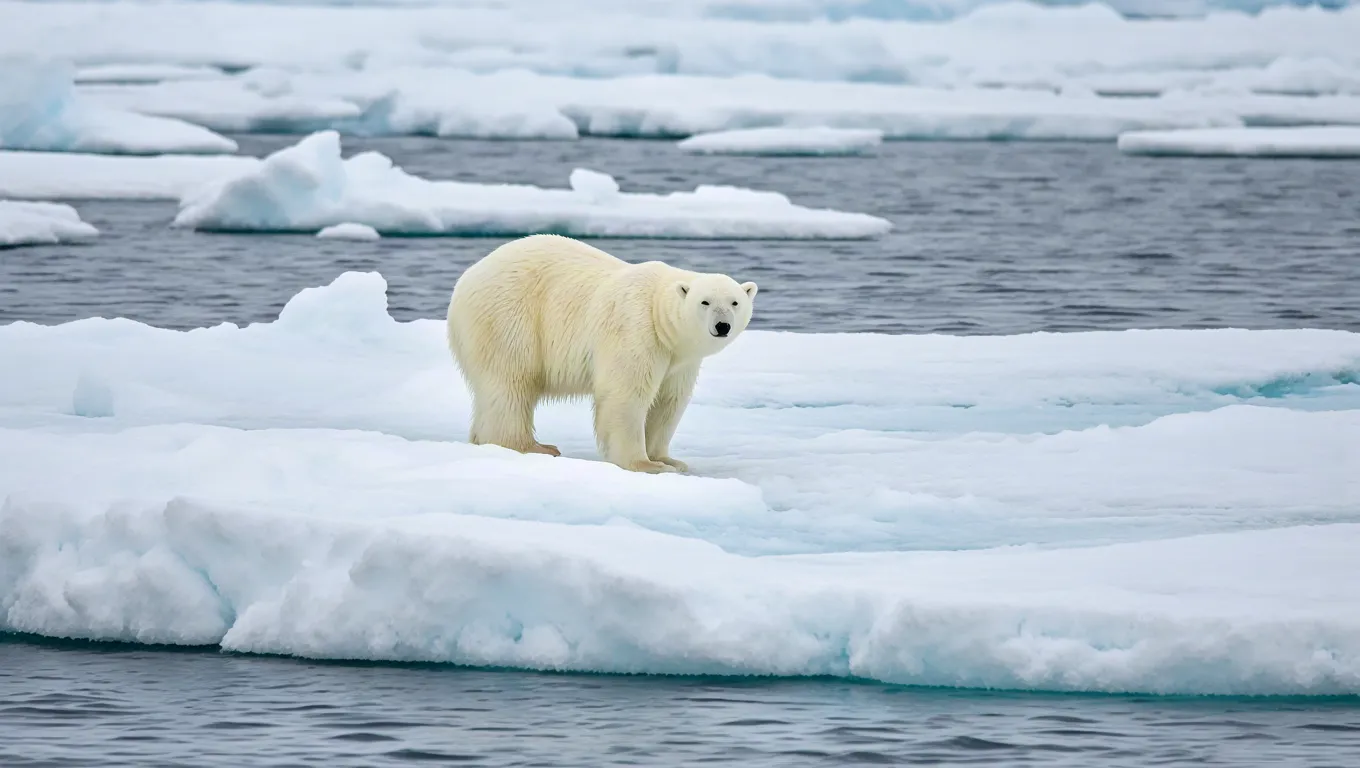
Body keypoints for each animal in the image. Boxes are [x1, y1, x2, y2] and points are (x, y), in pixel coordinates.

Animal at [446, 234, 757, 474]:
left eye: (735, 302)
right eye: (705, 302)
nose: (722, 325)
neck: (658, 313)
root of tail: (464, 283)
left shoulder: (679, 358)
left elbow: (669, 401)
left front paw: (669, 460)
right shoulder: (635, 329)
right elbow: (626, 394)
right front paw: (645, 464)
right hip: (509, 317)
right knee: (511, 382)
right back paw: (532, 446)